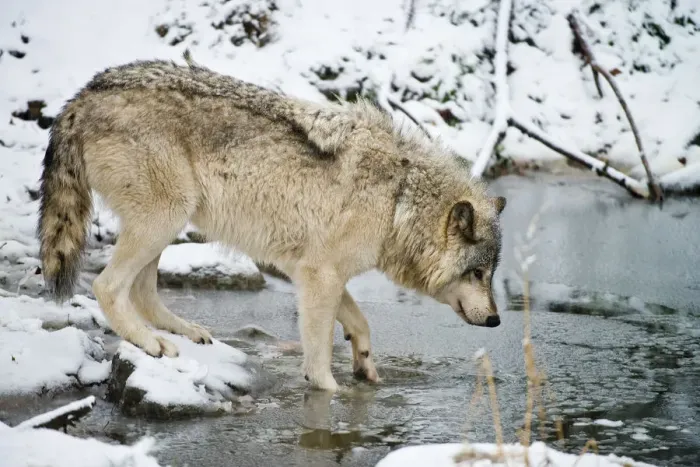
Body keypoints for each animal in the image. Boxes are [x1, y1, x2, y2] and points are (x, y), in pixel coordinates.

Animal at [37, 59, 506, 391]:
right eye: (477, 273)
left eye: (490, 274)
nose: (497, 321)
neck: (399, 198)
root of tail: (82, 96)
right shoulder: (319, 275)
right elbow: (319, 357)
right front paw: (330, 392)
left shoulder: (312, 271)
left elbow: (360, 323)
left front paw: (365, 365)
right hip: (163, 219)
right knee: (107, 287)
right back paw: (151, 342)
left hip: (166, 223)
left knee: (142, 292)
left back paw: (186, 332)